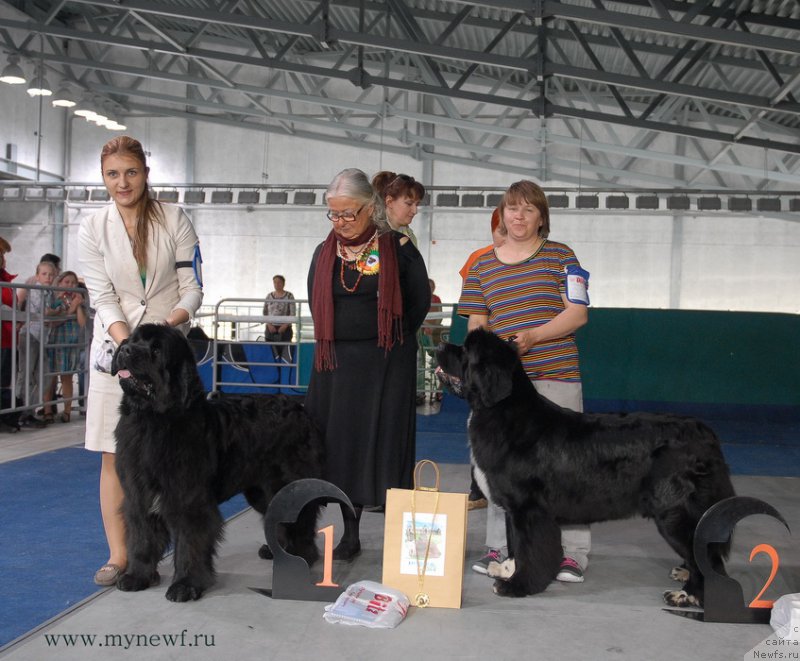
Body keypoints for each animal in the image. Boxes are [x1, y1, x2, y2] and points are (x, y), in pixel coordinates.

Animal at [113, 322, 324, 600]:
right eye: (132, 340)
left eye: (156, 350)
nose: (125, 349)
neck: (151, 420)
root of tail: (301, 410)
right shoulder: (139, 495)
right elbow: (141, 538)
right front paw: (137, 576)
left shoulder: (189, 500)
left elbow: (190, 544)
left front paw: (186, 585)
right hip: (260, 491)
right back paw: (276, 551)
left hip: (289, 483)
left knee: (301, 519)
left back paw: (300, 557)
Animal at [438, 328, 736, 604]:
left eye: (465, 351)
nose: (440, 344)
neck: (502, 410)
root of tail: (705, 433)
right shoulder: (514, 508)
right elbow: (514, 543)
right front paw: (508, 569)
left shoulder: (529, 508)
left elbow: (529, 549)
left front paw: (518, 585)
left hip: (674, 511)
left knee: (706, 556)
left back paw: (687, 595)